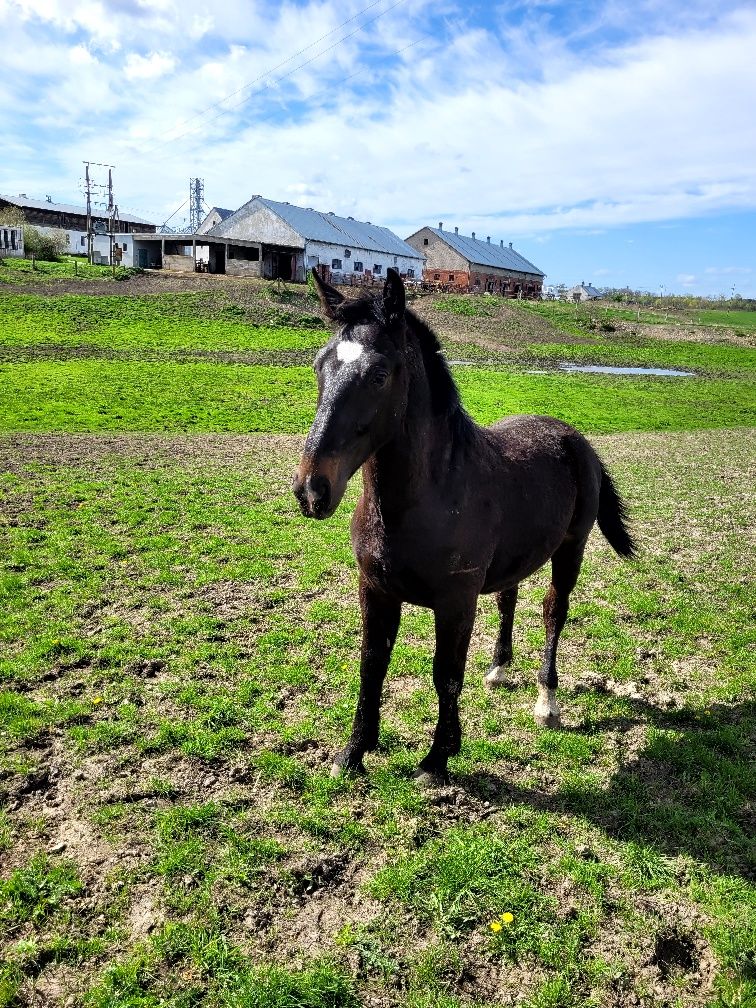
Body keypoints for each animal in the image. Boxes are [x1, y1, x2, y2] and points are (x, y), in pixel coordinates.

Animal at [292, 270, 637, 786]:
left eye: (378, 375)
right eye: (320, 366)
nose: (312, 490)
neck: (427, 498)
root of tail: (577, 439)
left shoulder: (455, 601)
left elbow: (446, 673)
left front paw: (437, 759)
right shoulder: (375, 588)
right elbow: (372, 665)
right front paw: (353, 753)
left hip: (570, 550)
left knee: (554, 611)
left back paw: (547, 703)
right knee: (509, 598)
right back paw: (498, 670)